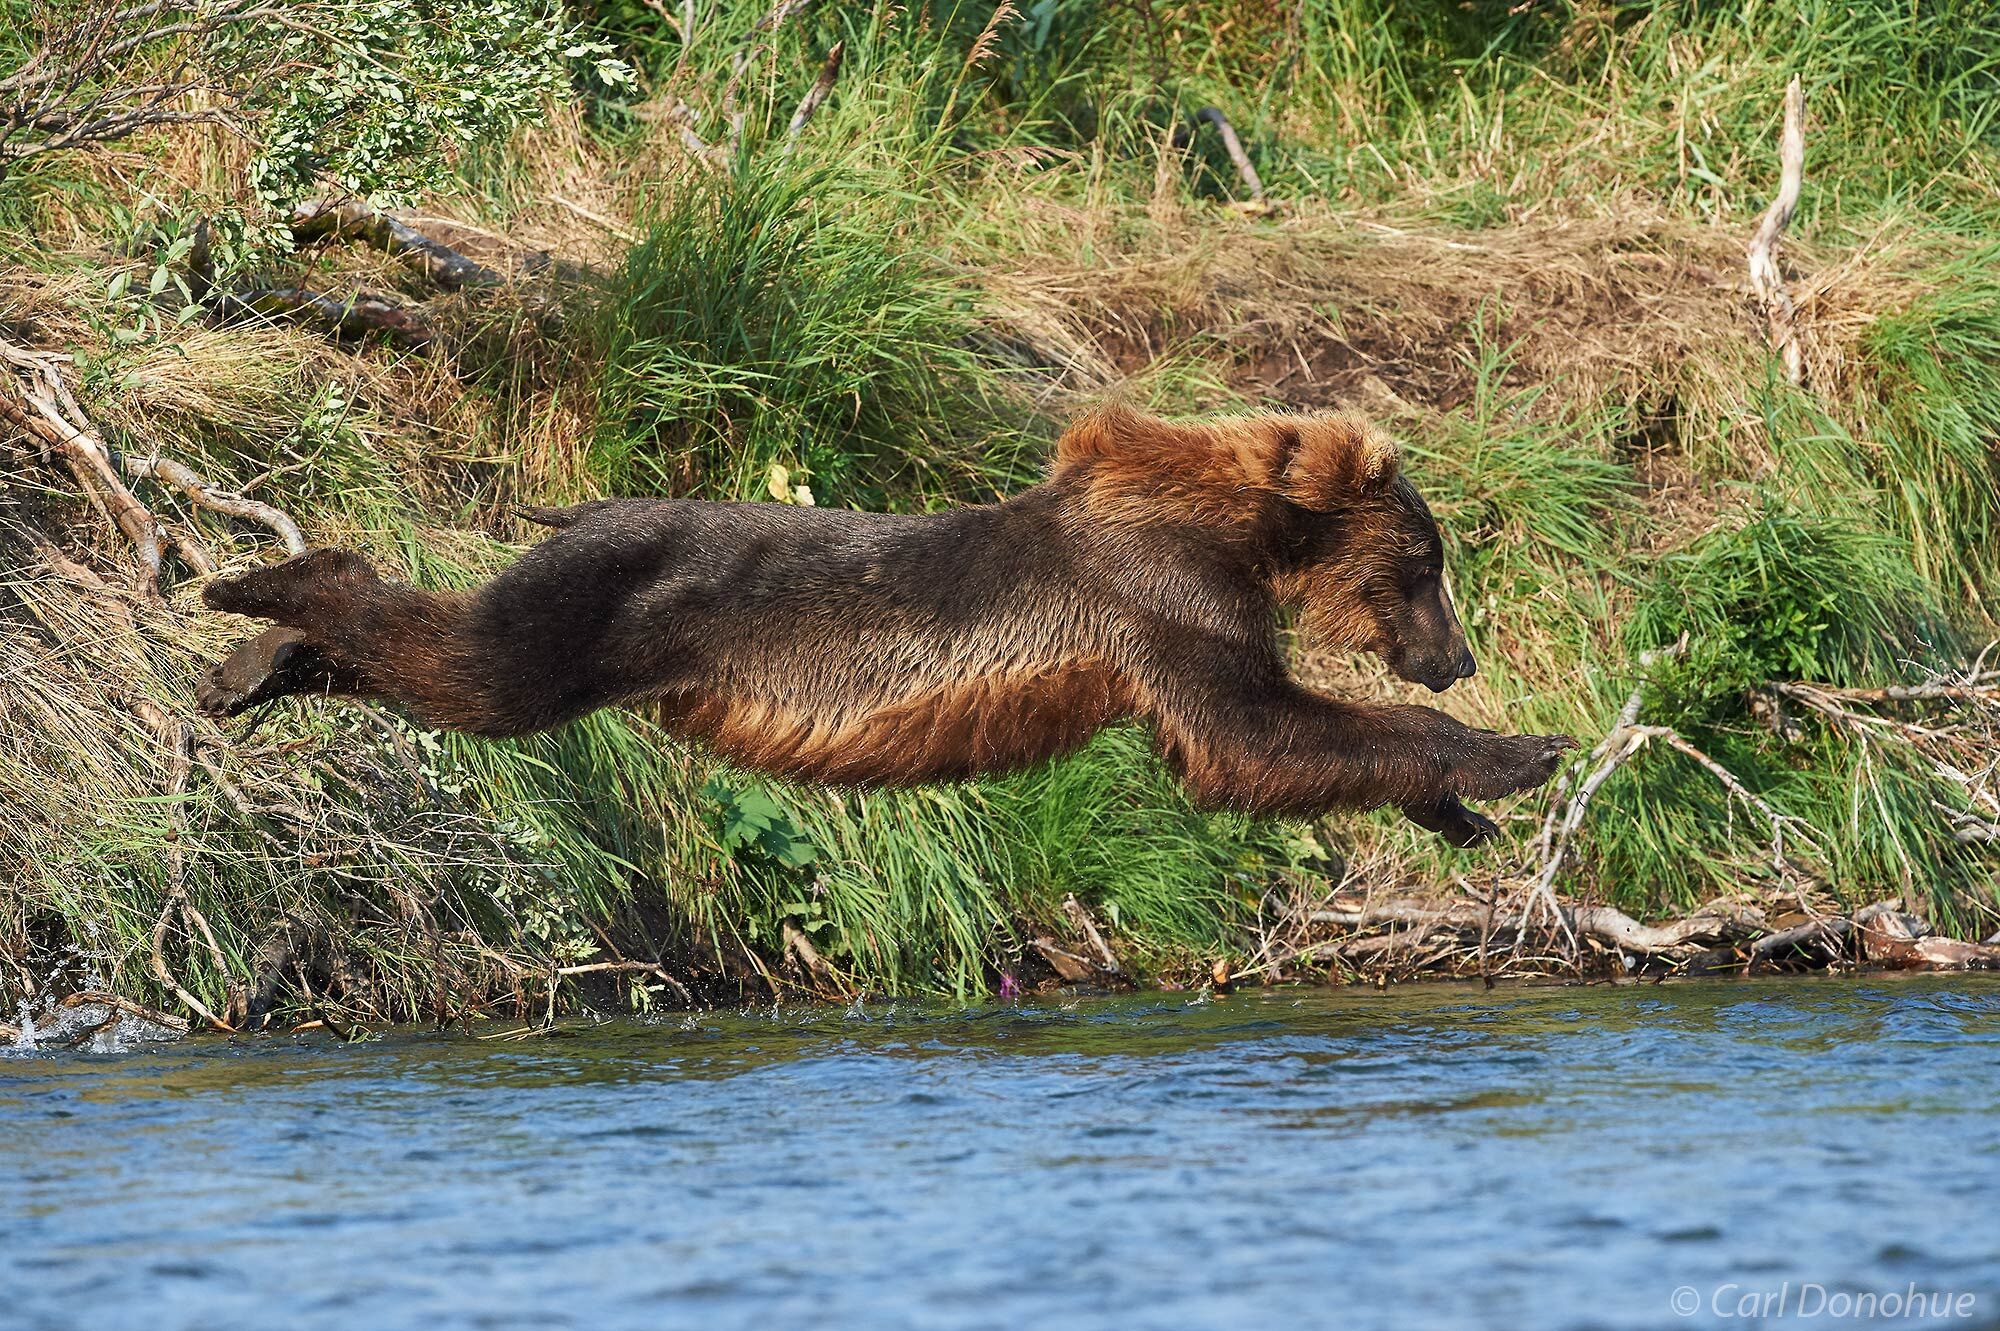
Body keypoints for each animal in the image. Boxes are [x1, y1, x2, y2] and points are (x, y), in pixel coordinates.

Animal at [203, 399, 1576, 843]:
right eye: (1426, 563)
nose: (1456, 653)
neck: (1236, 533)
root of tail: (575, 498)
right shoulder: (1162, 599)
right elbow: (1250, 730)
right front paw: (1516, 753)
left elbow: (1271, 738)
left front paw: (1457, 804)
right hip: (595, 605)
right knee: (475, 658)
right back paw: (251, 594)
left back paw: (252, 668)